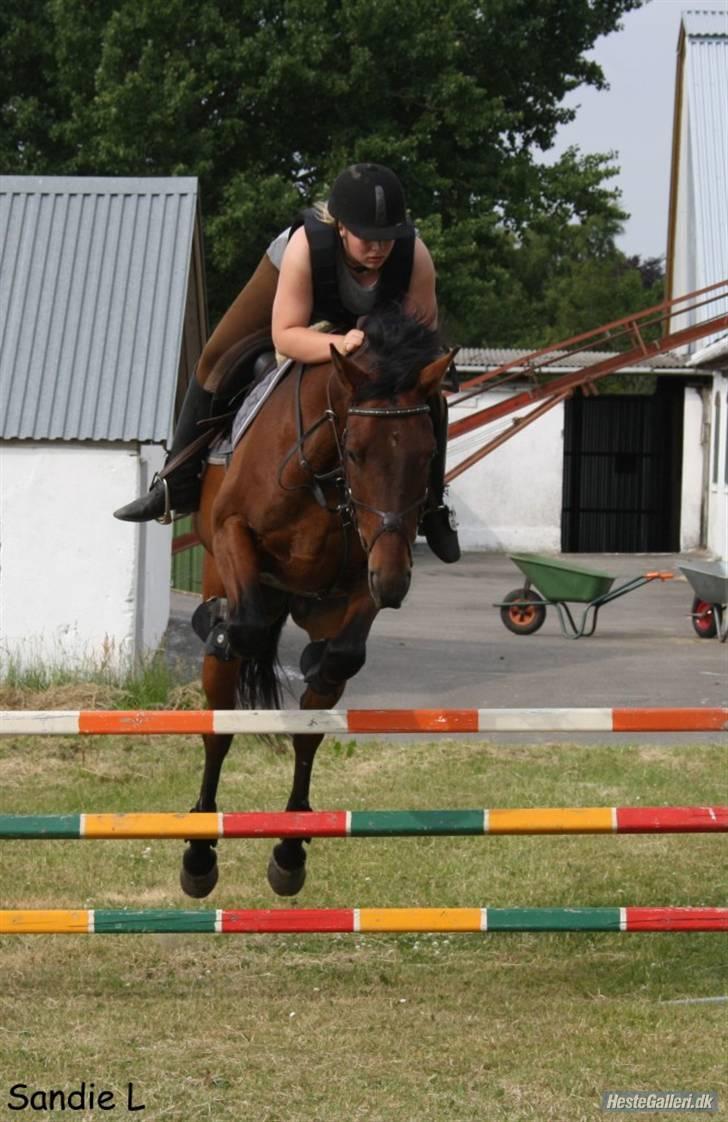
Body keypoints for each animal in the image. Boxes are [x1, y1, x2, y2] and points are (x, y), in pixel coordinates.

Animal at [180, 309, 453, 902]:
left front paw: (318, 661)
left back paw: (289, 850)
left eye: (427, 454)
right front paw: (219, 623)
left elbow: (342, 656)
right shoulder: (232, 531)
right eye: (356, 452)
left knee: (311, 723)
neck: (322, 475)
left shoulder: (366, 568)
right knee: (220, 723)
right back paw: (198, 852)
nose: (394, 585)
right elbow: (247, 625)